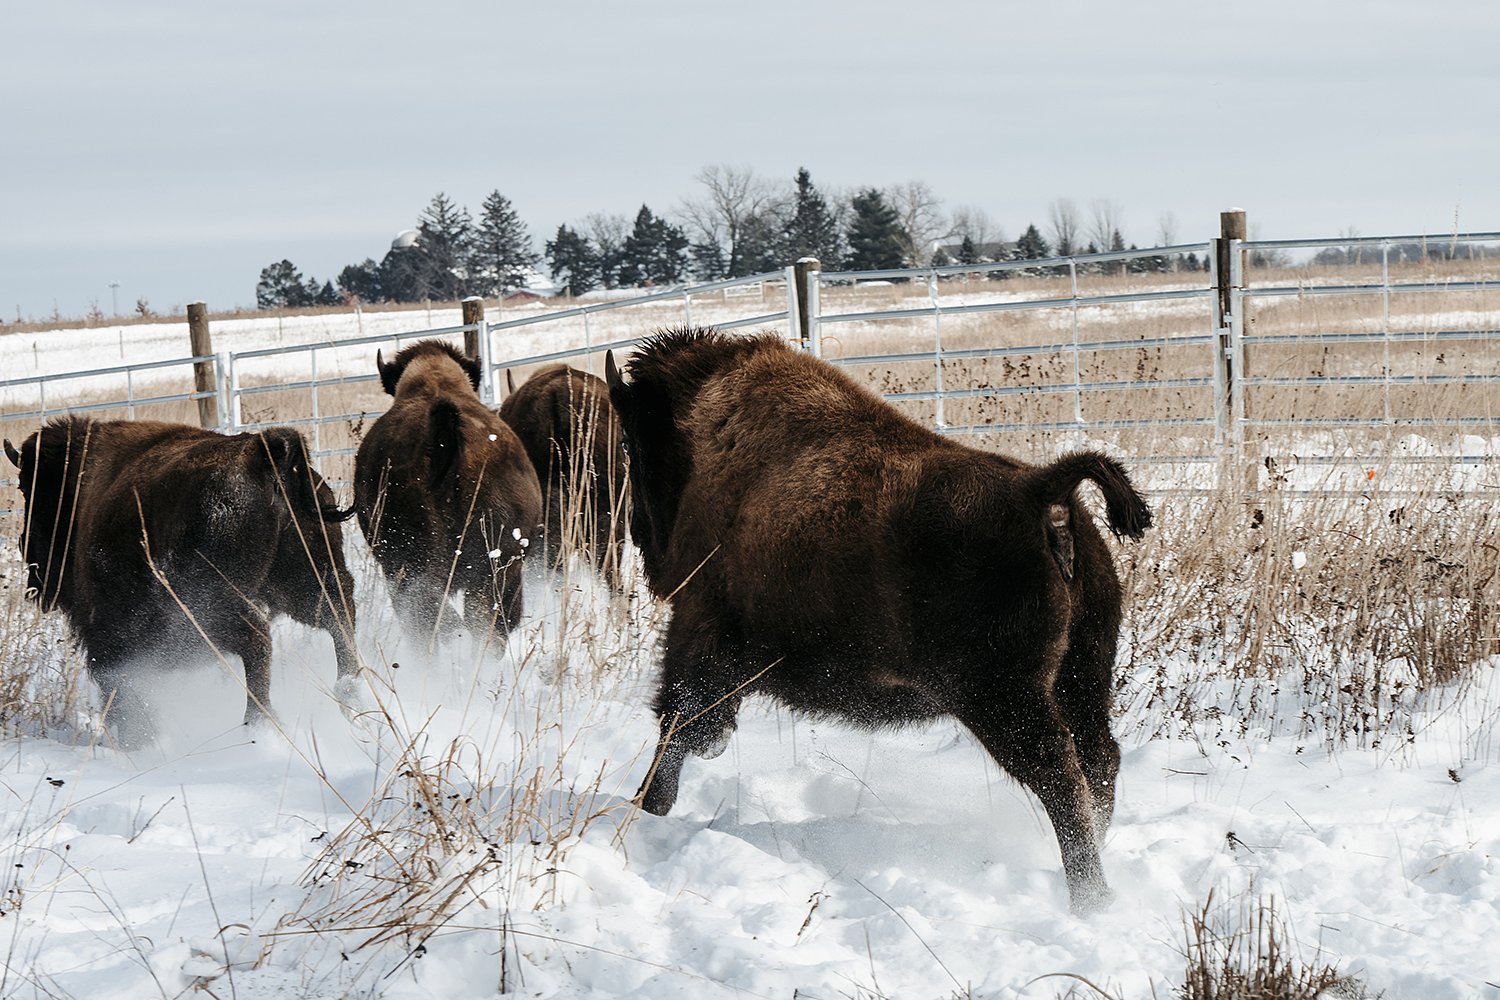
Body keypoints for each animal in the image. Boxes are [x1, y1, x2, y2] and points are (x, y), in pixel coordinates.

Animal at [4, 417, 361, 743]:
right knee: (338, 618)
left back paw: (259, 723)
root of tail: (263, 452)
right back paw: (350, 694)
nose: (31, 565)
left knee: (258, 641)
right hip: (309, 580)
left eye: (29, 489)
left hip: (217, 607)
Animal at [604, 327, 1152, 914]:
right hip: (1081, 677)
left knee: (1061, 779)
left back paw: (1089, 899)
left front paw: (647, 806)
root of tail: (1041, 491)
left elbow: (675, 722)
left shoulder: (699, 628)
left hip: (1005, 700)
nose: (640, 537)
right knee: (1098, 762)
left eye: (631, 443)